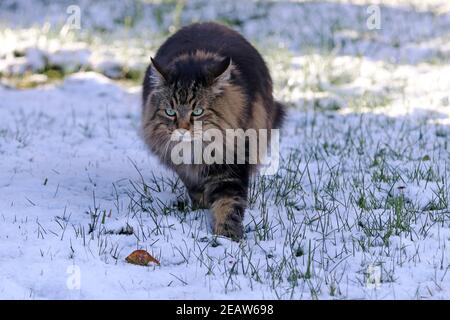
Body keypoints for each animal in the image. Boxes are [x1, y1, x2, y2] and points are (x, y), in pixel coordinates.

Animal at [142, 21, 284, 240]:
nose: (182, 130)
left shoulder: (231, 164)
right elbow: (196, 189)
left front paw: (227, 235)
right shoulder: (185, 168)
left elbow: (228, 203)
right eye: (170, 112)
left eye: (198, 111)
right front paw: (202, 208)